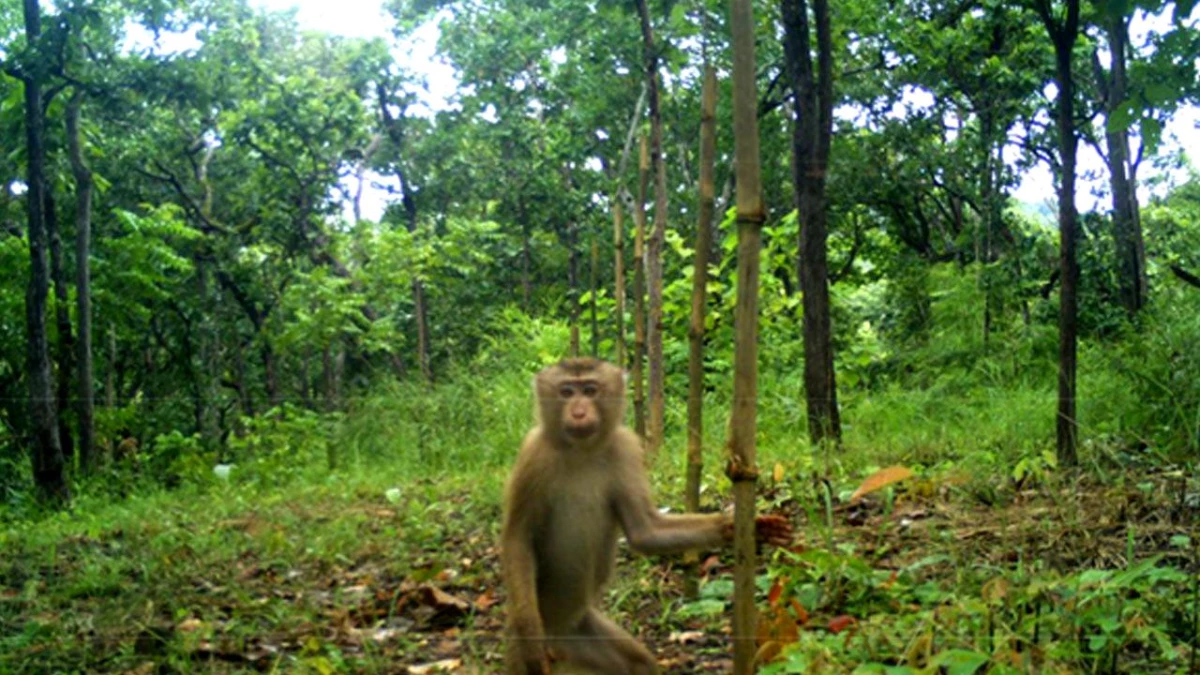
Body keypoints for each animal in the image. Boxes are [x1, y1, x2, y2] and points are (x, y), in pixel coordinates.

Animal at [499, 355, 792, 667]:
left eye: (589, 390)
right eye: (566, 392)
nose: (578, 412)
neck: (581, 450)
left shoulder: (625, 447)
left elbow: (645, 531)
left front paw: (738, 526)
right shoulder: (533, 454)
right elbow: (518, 538)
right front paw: (531, 632)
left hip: (579, 632)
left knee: (637, 664)